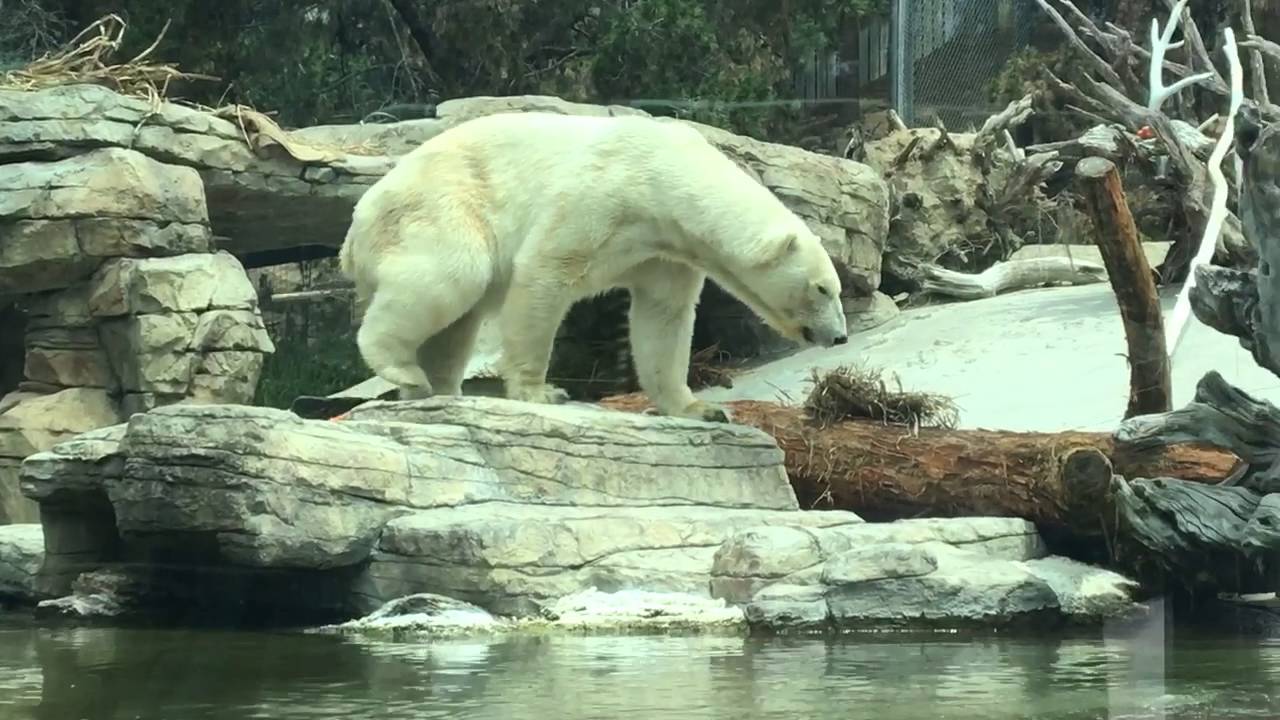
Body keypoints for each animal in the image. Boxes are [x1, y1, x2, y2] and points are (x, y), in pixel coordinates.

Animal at [338, 111, 849, 423]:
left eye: (837, 289)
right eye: (823, 289)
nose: (840, 336)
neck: (666, 179)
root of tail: (353, 232)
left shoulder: (665, 251)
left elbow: (663, 320)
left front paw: (700, 409)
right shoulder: (601, 194)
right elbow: (543, 270)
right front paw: (541, 392)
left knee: (457, 325)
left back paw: (438, 389)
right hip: (439, 206)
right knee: (453, 276)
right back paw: (404, 370)